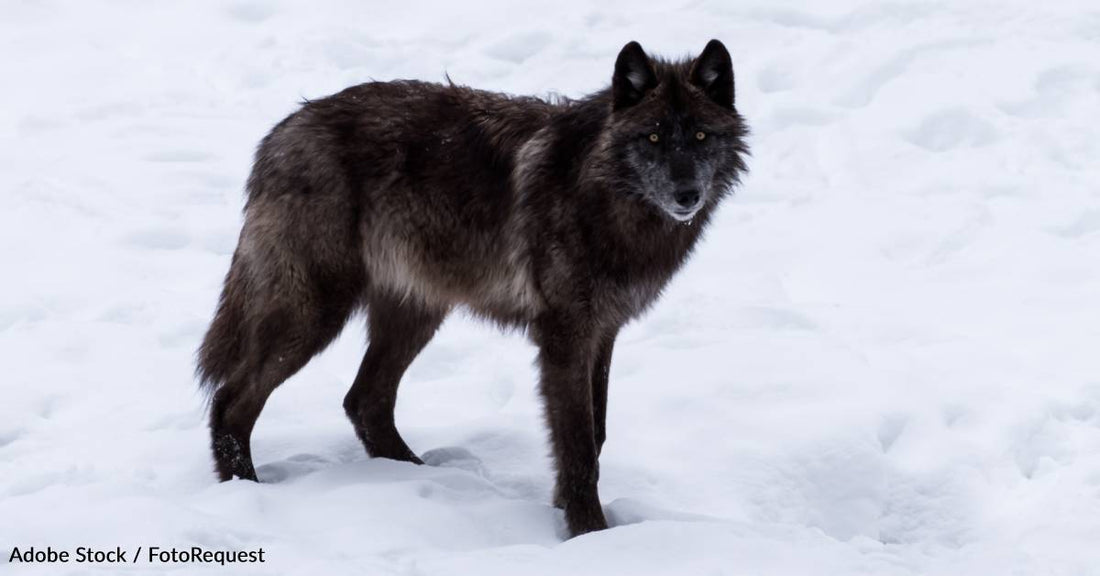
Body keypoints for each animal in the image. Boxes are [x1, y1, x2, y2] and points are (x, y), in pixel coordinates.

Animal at [196, 39, 748, 536]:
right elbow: (578, 445)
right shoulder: (565, 338)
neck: (602, 193)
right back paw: (246, 495)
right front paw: (590, 535)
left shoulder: (603, 333)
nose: (686, 194)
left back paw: (416, 479)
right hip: (315, 312)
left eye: (701, 135)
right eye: (653, 138)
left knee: (364, 400)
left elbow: (597, 433)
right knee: (232, 400)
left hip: (415, 314)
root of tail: (281, 131)